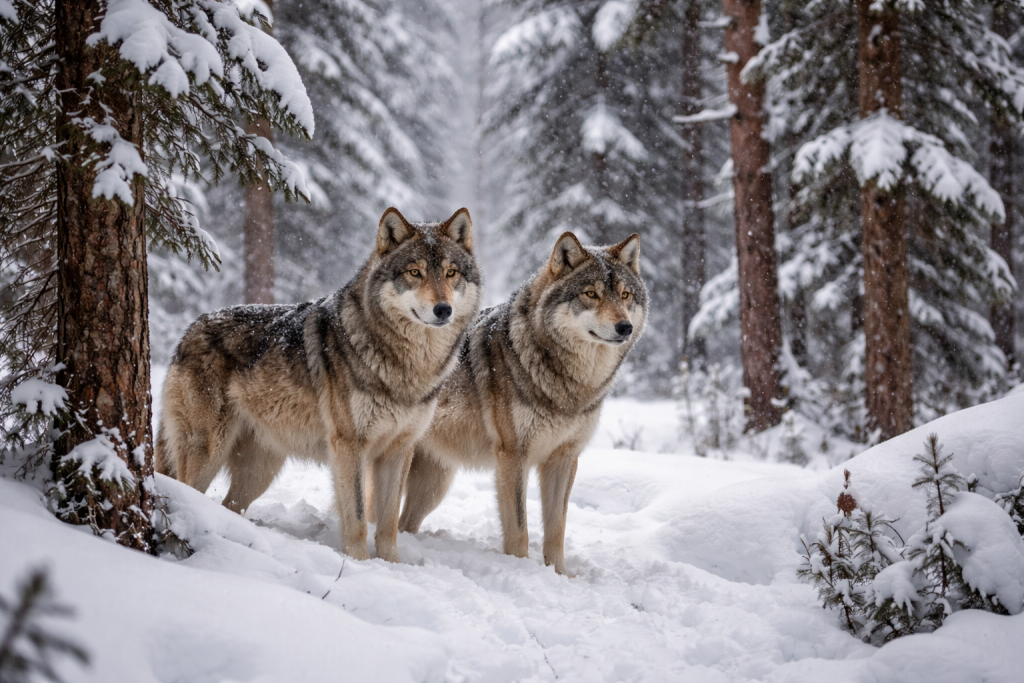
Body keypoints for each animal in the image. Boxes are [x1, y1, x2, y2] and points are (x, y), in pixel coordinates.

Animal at [155, 207, 481, 562]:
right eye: (415, 272)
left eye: (451, 273)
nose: (443, 309)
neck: (408, 367)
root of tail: (189, 330)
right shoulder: (349, 446)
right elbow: (357, 517)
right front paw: (360, 563)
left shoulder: (399, 450)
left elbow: (388, 522)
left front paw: (392, 565)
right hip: (209, 452)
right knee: (187, 494)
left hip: (260, 470)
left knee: (229, 506)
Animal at [397, 231, 647, 575]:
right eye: (591, 294)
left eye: (625, 295)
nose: (625, 327)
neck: (568, 386)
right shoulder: (513, 457)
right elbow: (519, 529)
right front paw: (522, 571)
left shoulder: (564, 458)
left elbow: (557, 528)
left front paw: (560, 575)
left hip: (433, 486)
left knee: (403, 522)